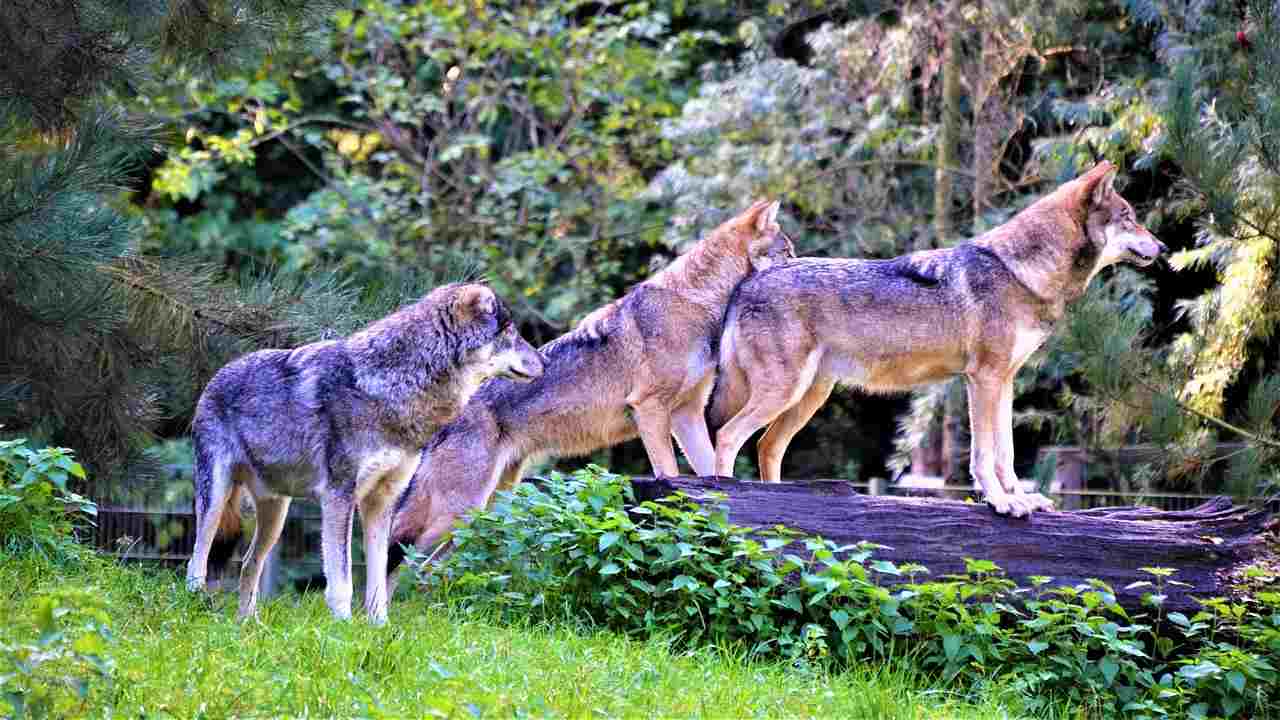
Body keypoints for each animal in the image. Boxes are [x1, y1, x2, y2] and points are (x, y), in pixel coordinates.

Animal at [183, 281, 542, 622]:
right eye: (511, 331)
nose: (545, 361)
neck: (389, 385)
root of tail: (218, 375)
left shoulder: (382, 501)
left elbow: (378, 581)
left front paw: (379, 627)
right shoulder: (338, 496)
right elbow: (342, 580)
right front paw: (342, 627)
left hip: (276, 514)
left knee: (248, 564)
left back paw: (248, 625)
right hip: (215, 500)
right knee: (196, 560)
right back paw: (197, 609)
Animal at [378, 196, 793, 584]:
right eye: (788, 252)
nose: (802, 264)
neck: (695, 303)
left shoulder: (687, 415)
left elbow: (709, 475)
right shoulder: (650, 409)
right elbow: (669, 474)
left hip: (480, 511)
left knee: (430, 573)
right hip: (457, 513)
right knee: (403, 569)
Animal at [706, 159, 1167, 512]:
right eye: (1129, 218)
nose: (1162, 247)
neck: (1020, 271)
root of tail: (748, 282)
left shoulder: (1005, 381)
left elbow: (1007, 452)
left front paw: (1021, 499)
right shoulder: (983, 379)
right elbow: (985, 454)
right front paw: (1001, 502)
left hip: (807, 396)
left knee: (766, 446)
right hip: (784, 392)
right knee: (727, 437)